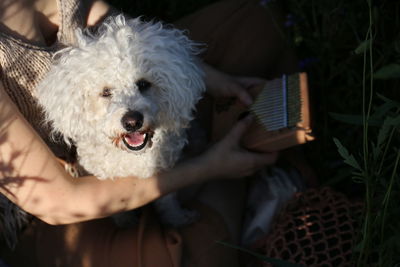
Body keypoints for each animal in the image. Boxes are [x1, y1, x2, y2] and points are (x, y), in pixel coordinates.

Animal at [36, 14, 206, 227]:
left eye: (143, 84)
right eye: (106, 92)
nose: (132, 122)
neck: (131, 157)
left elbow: (168, 200)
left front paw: (177, 218)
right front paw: (126, 222)